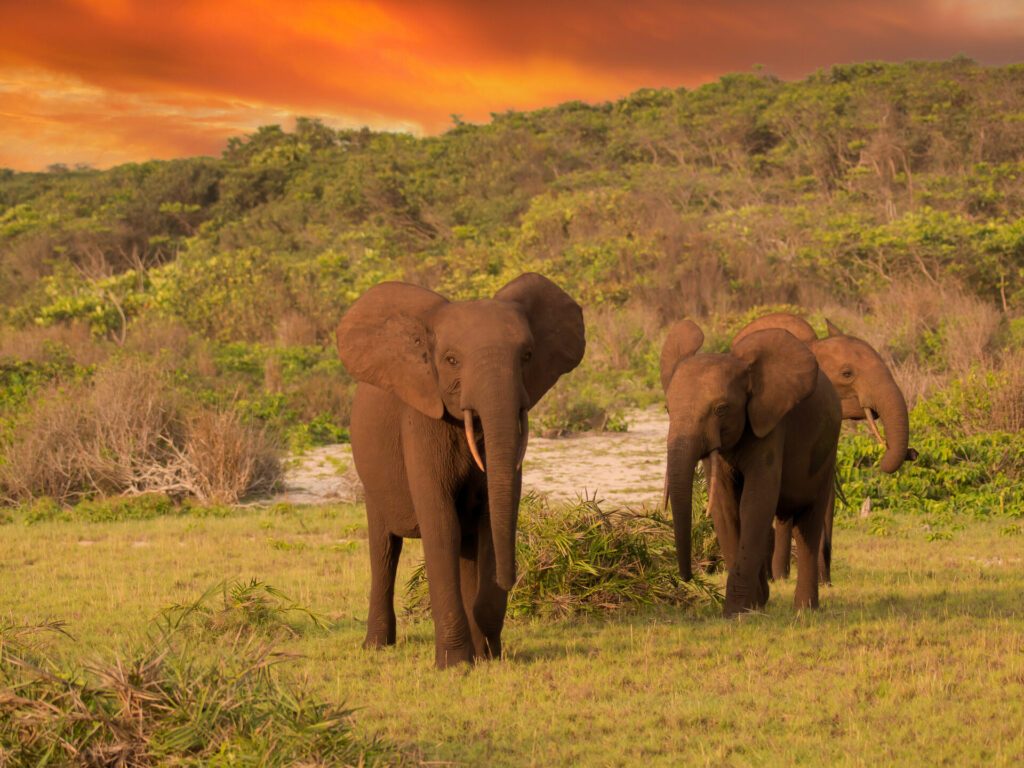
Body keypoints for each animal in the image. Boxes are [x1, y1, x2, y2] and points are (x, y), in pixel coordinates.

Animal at [331, 274, 581, 671]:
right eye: (451, 360)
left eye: (527, 356)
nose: (511, 580)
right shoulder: (420, 420)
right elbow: (441, 525)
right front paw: (454, 664)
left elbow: (492, 519)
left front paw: (484, 654)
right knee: (384, 549)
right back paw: (376, 646)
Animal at [659, 321, 843, 618]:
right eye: (667, 409)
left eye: (721, 409)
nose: (687, 577)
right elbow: (725, 507)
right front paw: (751, 606)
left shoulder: (771, 423)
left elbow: (756, 501)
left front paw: (735, 612)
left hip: (827, 452)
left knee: (808, 525)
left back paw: (805, 610)